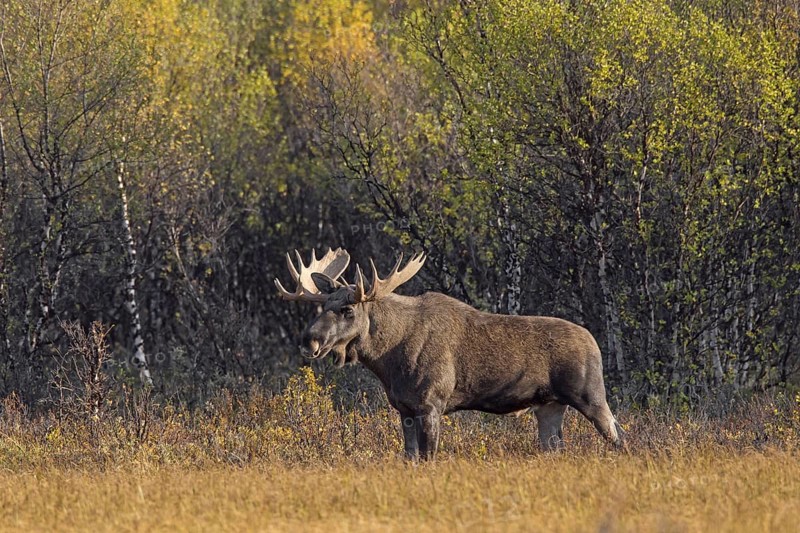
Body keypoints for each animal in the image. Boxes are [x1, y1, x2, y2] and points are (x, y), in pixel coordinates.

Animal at [275, 247, 624, 460]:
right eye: (323, 306)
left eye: (347, 309)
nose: (310, 341)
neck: (388, 362)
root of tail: (595, 343)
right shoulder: (405, 409)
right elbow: (410, 458)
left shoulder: (432, 403)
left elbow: (429, 458)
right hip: (550, 405)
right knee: (556, 446)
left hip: (590, 394)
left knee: (618, 435)